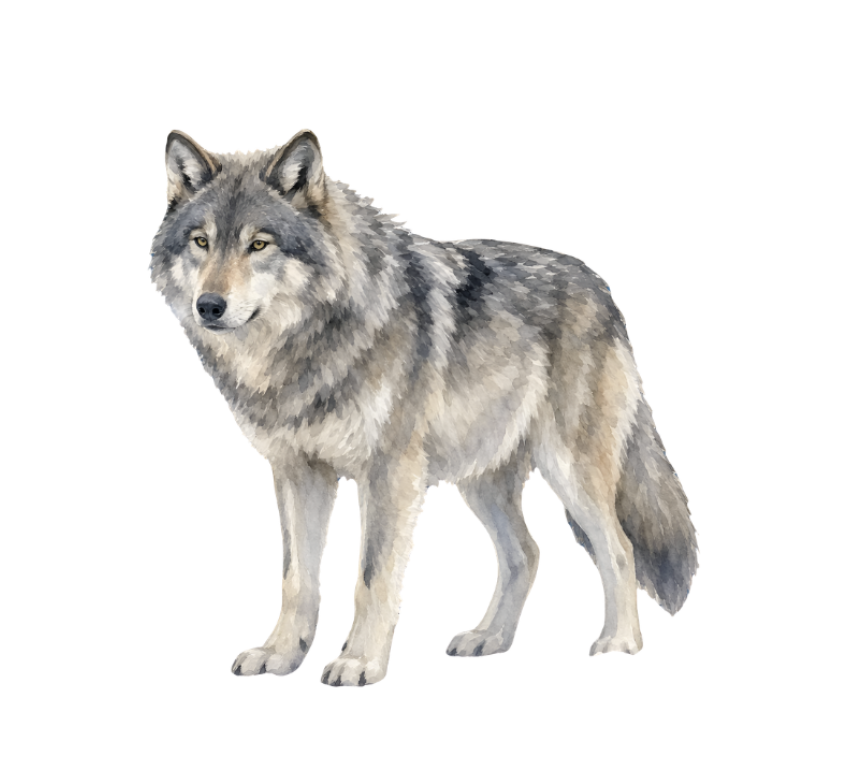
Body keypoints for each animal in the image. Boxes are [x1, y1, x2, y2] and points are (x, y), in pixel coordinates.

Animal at [150, 129, 697, 686]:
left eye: (259, 244)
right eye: (201, 242)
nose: (208, 306)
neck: (309, 344)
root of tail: (602, 288)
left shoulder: (389, 474)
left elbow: (371, 579)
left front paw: (359, 661)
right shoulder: (297, 472)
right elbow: (297, 579)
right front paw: (281, 654)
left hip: (570, 470)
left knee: (618, 548)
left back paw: (618, 645)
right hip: (481, 481)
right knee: (526, 553)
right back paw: (489, 638)